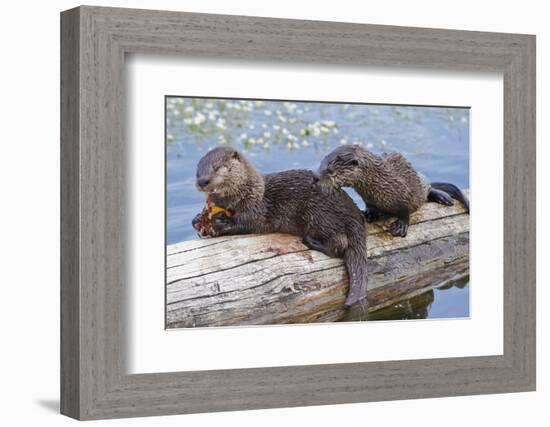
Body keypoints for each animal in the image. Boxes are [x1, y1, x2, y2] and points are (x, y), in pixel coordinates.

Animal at [192, 148, 368, 308]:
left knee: (340, 243)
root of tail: (353, 214)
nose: (202, 181)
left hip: (320, 215)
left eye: (217, 167)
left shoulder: (256, 208)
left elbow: (247, 222)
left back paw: (312, 242)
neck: (247, 192)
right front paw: (198, 220)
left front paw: (222, 222)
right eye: (198, 170)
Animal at [320, 145, 470, 237]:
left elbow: (405, 211)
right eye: (320, 165)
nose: (316, 178)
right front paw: (369, 214)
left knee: (428, 188)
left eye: (330, 171)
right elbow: (371, 206)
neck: (379, 182)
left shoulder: (404, 192)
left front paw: (401, 226)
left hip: (420, 184)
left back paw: (442, 197)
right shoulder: (368, 199)